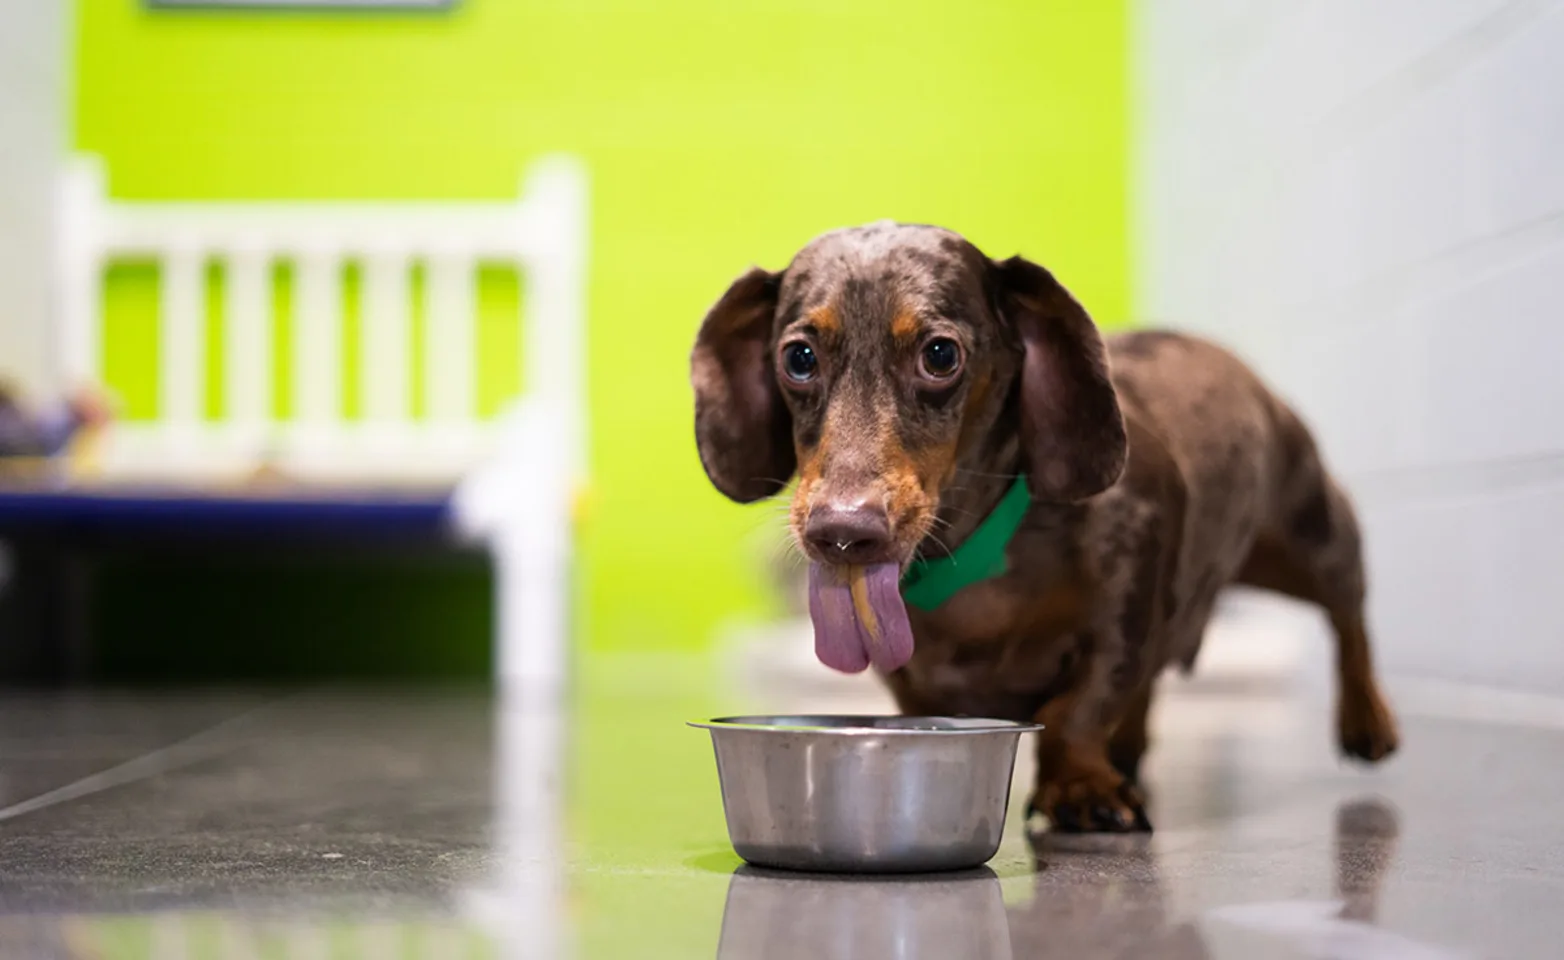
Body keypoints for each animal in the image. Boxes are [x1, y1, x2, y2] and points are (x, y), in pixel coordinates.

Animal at [691, 223, 1401, 838]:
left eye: (940, 354)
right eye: (798, 358)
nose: (842, 532)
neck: (978, 555)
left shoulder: (1126, 608)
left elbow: (1078, 710)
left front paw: (1081, 786)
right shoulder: (913, 681)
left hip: (1307, 533)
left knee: (1349, 610)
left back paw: (1367, 721)